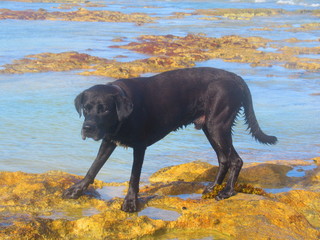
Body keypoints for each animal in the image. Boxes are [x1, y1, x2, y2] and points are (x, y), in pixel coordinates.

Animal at [63, 67, 278, 212]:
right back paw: (212, 187)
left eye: (105, 109)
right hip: (209, 128)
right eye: (86, 108)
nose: (88, 128)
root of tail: (235, 77)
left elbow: (134, 177)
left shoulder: (139, 147)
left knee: (236, 160)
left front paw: (131, 202)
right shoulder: (108, 141)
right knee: (224, 159)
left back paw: (227, 192)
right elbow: (93, 167)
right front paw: (77, 190)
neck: (123, 115)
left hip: (218, 126)